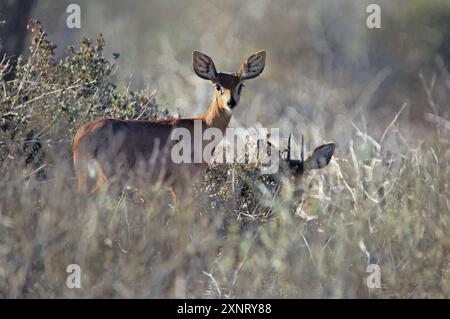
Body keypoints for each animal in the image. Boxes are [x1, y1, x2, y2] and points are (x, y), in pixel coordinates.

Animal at [71, 49, 266, 202]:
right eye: (217, 85)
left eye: (240, 85)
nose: (230, 102)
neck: (201, 125)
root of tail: (80, 135)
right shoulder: (179, 183)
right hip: (108, 178)